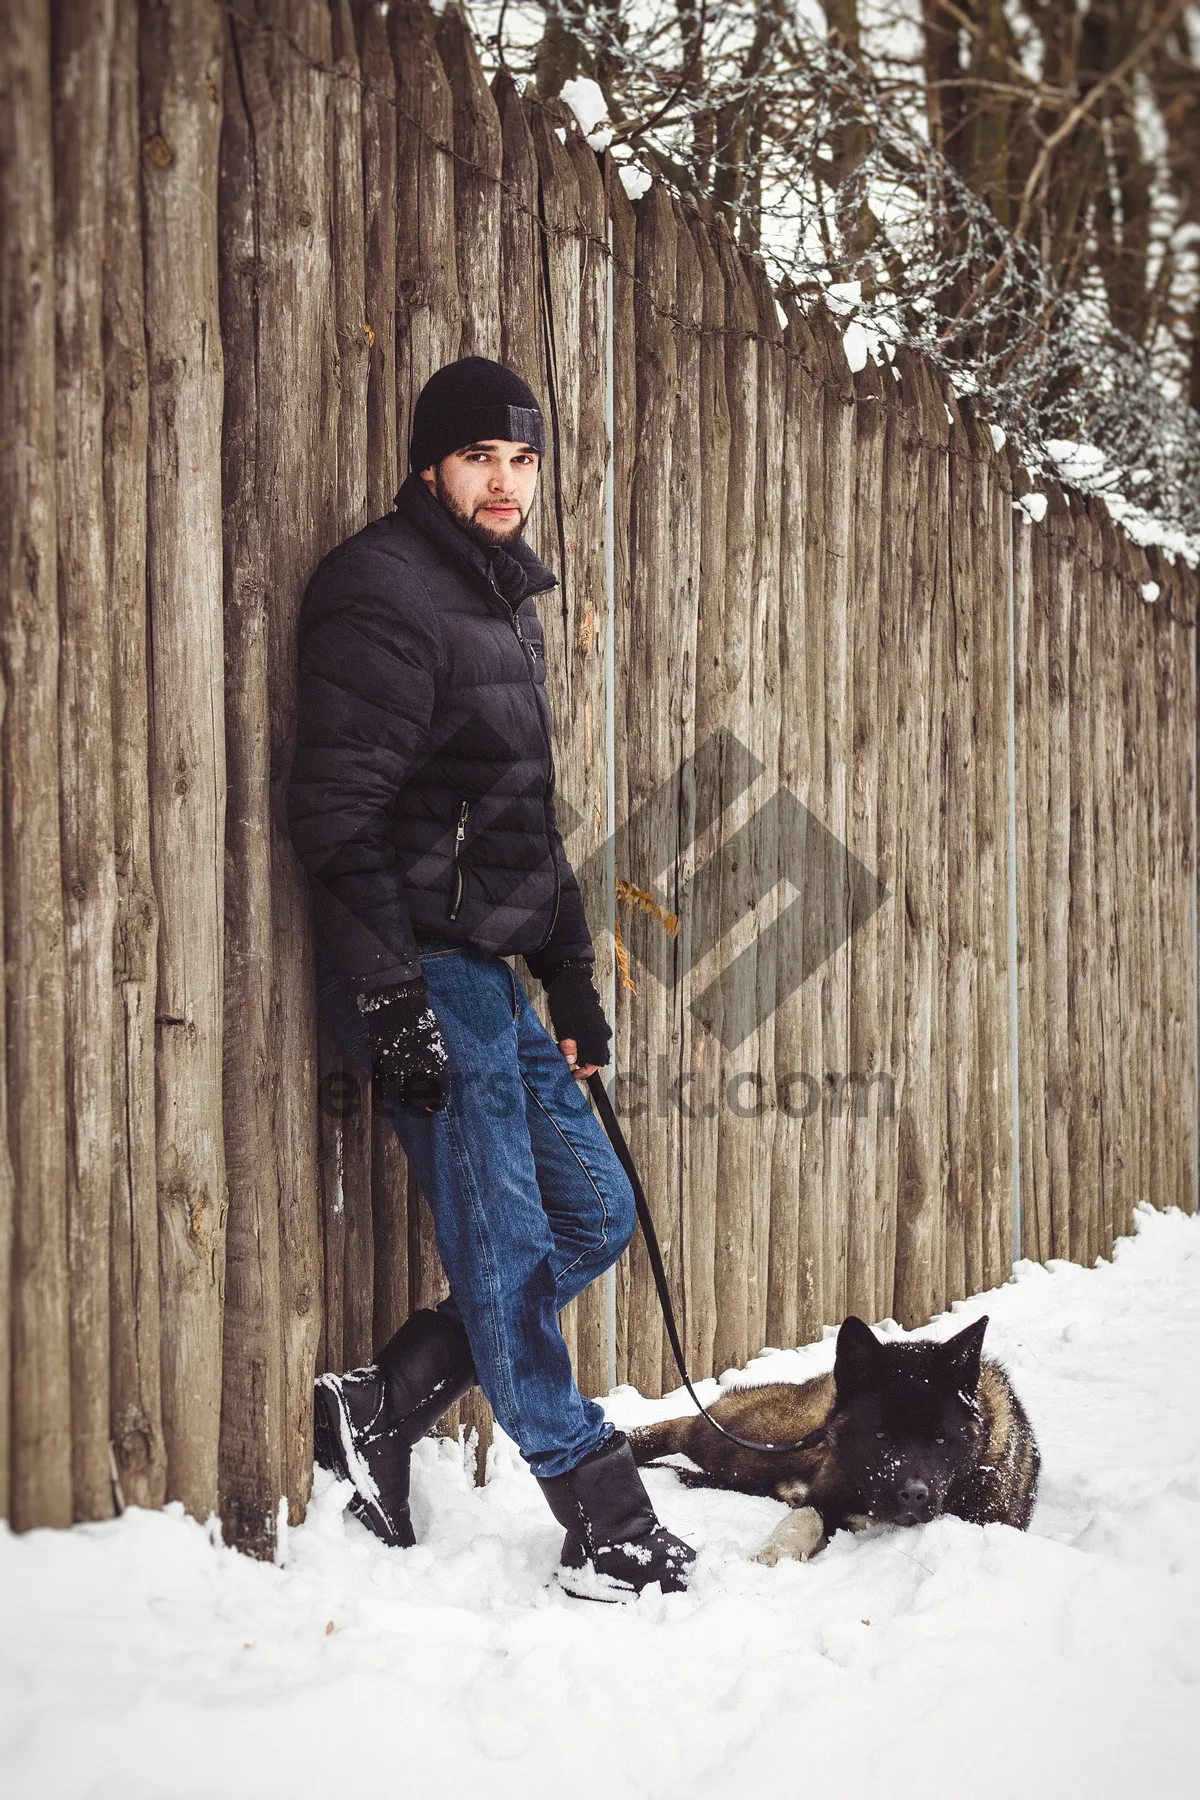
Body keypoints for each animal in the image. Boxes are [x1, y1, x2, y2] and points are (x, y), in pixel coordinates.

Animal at [629, 1317, 1043, 1569]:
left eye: (941, 1440)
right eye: (880, 1436)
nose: (913, 1494)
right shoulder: (824, 1498)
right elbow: (802, 1520)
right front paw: (775, 1553)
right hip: (760, 1443)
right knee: (685, 1426)